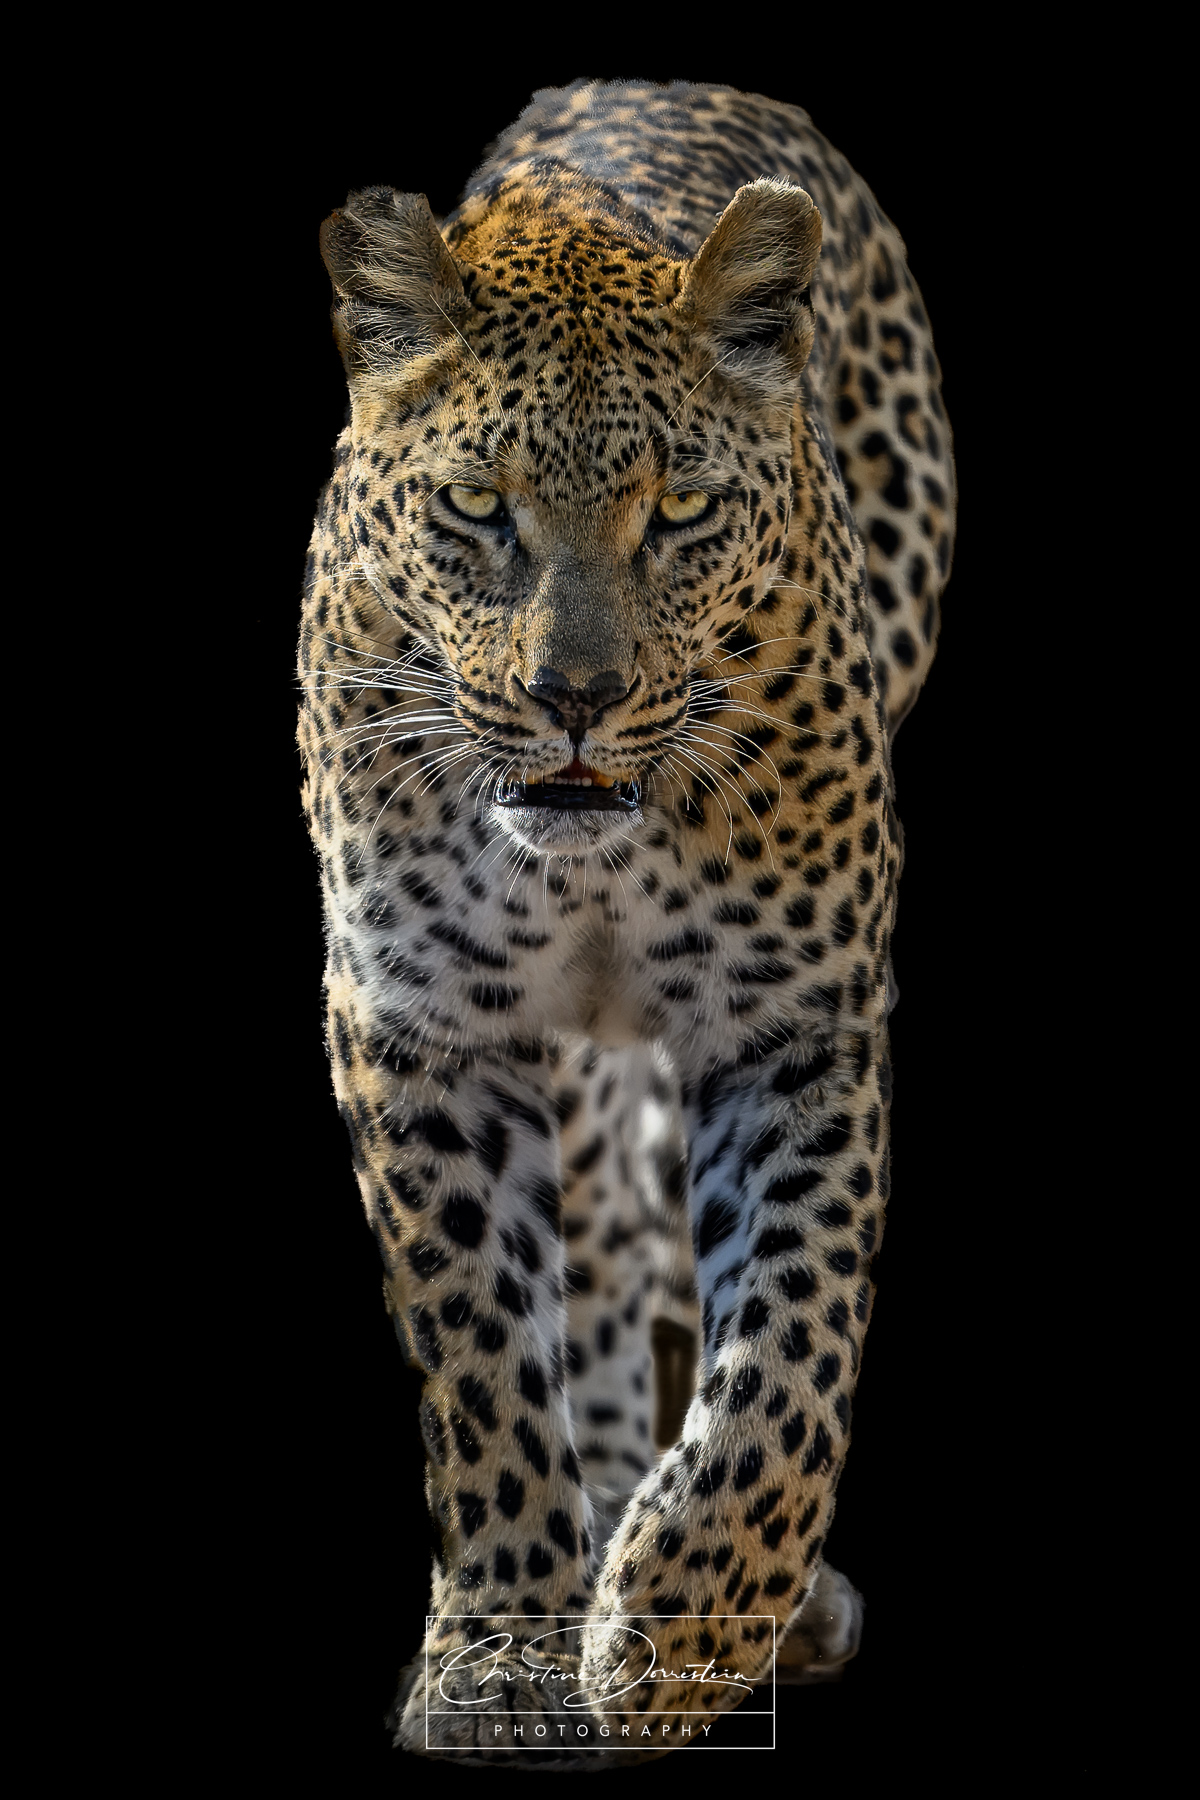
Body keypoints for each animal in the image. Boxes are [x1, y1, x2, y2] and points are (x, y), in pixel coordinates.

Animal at [298, 77, 955, 1765]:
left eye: (684, 511)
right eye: (480, 509)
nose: (575, 699)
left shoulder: (795, 1019)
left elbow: (792, 1340)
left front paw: (686, 1624)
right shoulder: (422, 1030)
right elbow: (478, 1349)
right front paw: (505, 1653)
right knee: (593, 1236)